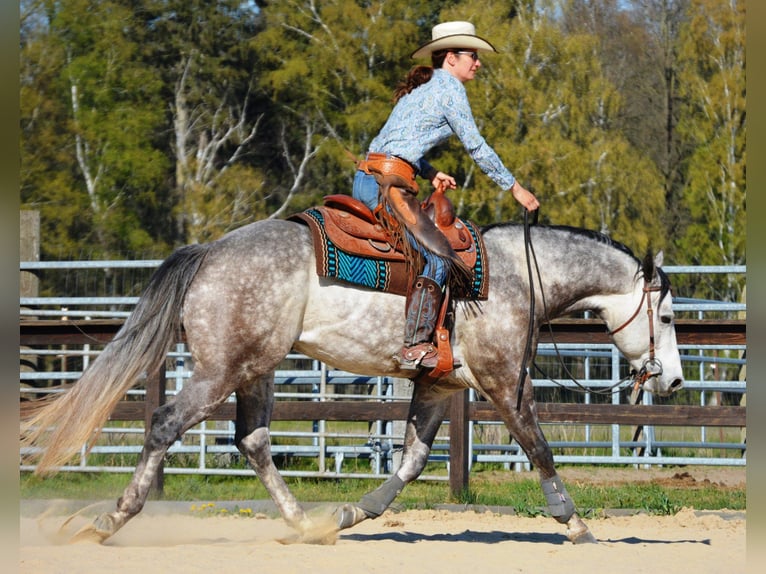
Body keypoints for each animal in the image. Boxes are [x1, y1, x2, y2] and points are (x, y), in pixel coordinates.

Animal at [20, 217, 684, 545]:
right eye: (668, 317)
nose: (674, 382)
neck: (516, 275)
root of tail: (209, 251)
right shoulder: (503, 383)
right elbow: (540, 448)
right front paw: (576, 524)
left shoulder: (439, 388)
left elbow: (410, 462)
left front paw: (350, 514)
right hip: (220, 371)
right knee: (164, 425)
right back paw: (113, 518)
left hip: (256, 369)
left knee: (253, 442)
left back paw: (304, 525)